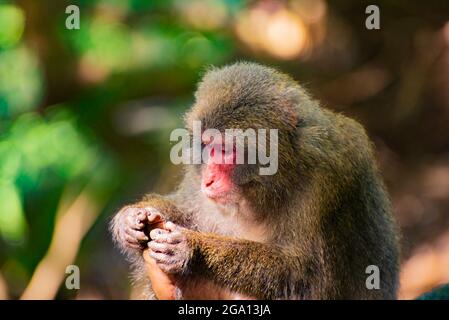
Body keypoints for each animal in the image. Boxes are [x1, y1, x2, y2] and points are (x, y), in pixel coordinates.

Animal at [111, 61, 400, 298]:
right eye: (206, 144)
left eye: (225, 150)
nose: (208, 180)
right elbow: (184, 210)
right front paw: (131, 218)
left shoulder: (328, 180)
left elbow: (306, 277)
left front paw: (192, 249)